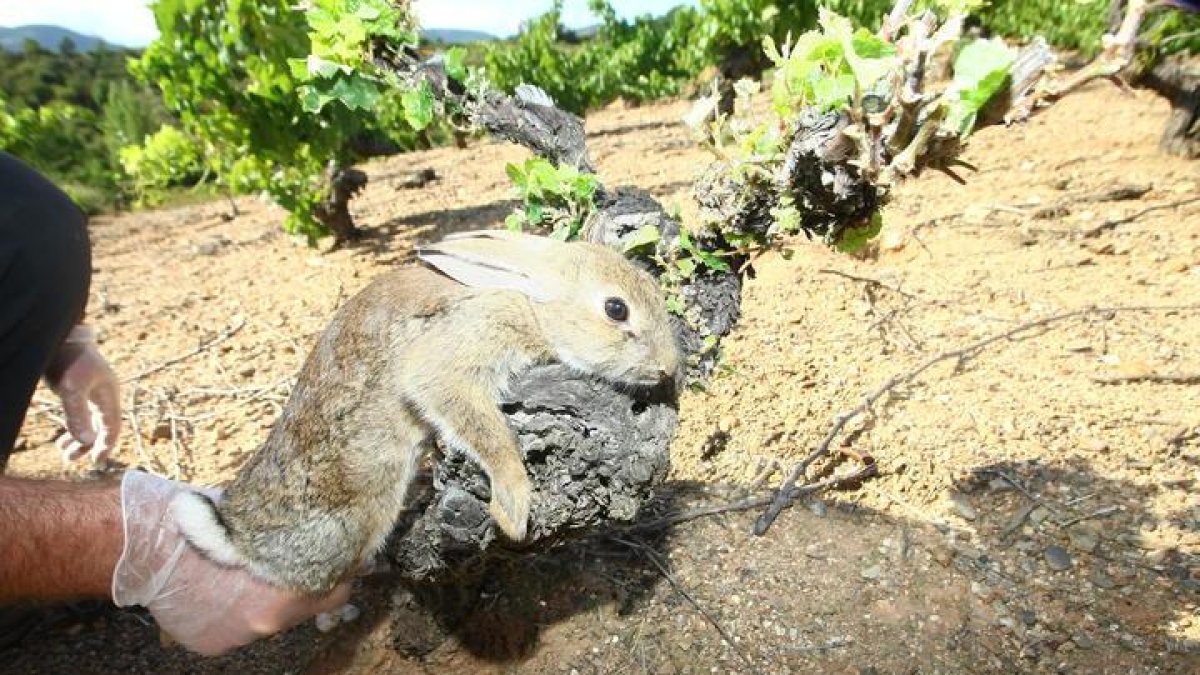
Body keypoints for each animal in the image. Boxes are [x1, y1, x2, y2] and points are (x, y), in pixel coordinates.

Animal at [166, 228, 686, 590]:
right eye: (616, 309)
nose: (667, 367)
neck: (532, 301)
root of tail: (236, 534)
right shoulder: (456, 354)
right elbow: (485, 430)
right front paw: (513, 508)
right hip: (358, 512)